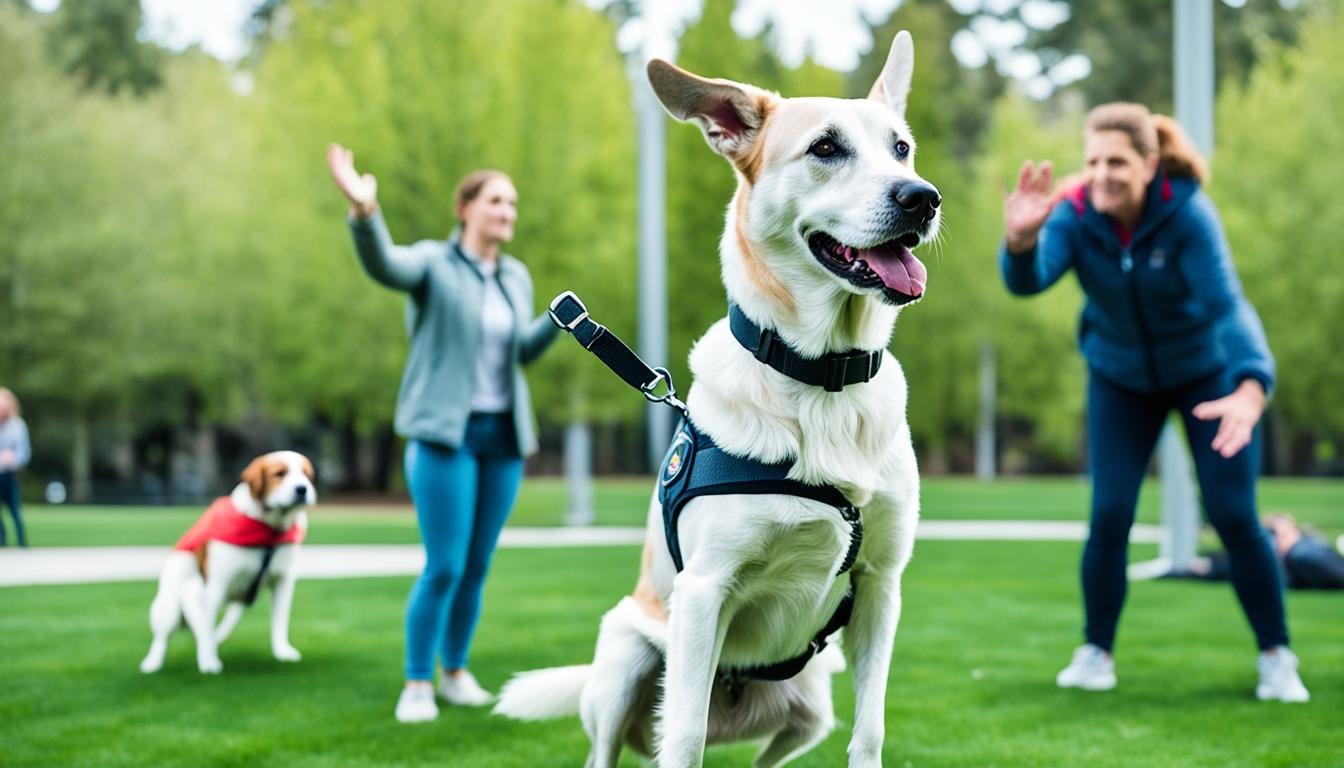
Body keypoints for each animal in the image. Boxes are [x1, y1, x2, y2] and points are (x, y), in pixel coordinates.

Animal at [139, 451, 314, 672]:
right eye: (279, 473)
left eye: (307, 474)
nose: (302, 489)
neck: (269, 530)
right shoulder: (216, 584)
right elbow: (205, 627)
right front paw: (208, 661)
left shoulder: (283, 580)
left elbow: (280, 619)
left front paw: (282, 651)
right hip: (172, 602)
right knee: (163, 637)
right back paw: (152, 663)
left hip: (240, 600)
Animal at [497, 31, 946, 768]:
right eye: (826, 147)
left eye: (901, 147)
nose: (922, 198)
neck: (822, 377)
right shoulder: (705, 588)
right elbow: (683, 735)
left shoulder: (883, 582)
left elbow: (871, 731)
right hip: (626, 657)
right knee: (618, 744)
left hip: (810, 705)